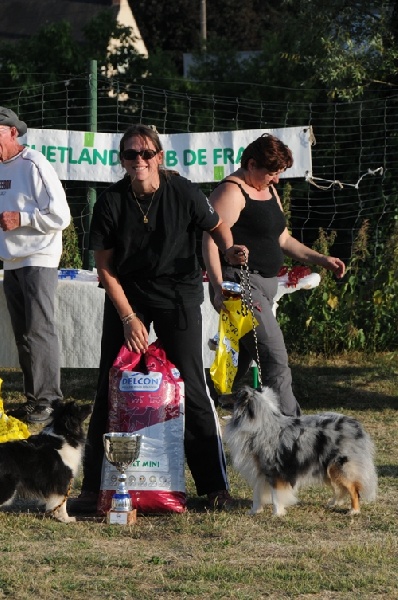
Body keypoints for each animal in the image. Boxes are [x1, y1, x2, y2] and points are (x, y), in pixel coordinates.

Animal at [222, 386, 378, 516]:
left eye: (234, 394)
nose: (219, 396)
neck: (258, 425)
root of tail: (356, 425)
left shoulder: (274, 470)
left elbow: (276, 495)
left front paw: (277, 514)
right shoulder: (259, 471)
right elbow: (257, 493)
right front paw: (254, 511)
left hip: (340, 466)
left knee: (353, 488)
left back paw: (354, 511)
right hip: (327, 469)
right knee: (340, 488)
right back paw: (334, 503)